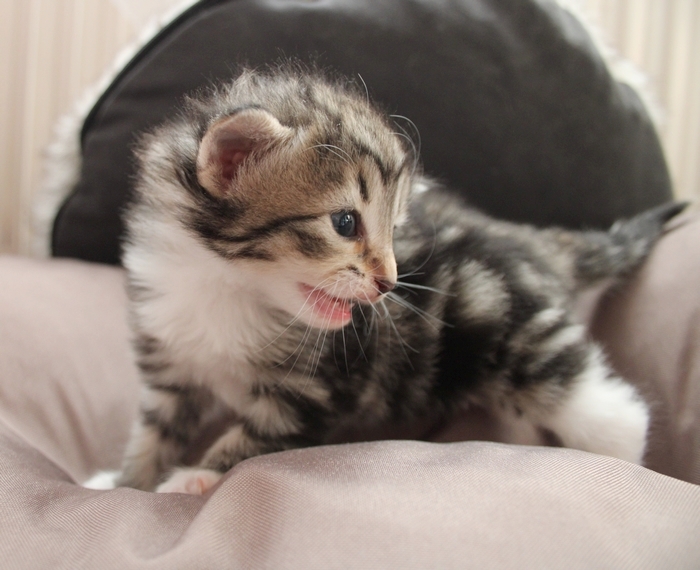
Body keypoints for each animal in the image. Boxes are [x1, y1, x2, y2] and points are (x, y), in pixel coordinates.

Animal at [114, 64, 685, 494]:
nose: (389, 283)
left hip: (522, 335)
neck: (228, 285)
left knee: (611, 409)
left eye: (395, 227)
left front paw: (196, 478)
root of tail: (528, 241)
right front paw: (124, 483)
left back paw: (620, 462)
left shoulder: (313, 391)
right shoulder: (172, 362)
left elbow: (250, 441)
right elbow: (155, 430)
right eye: (345, 223)